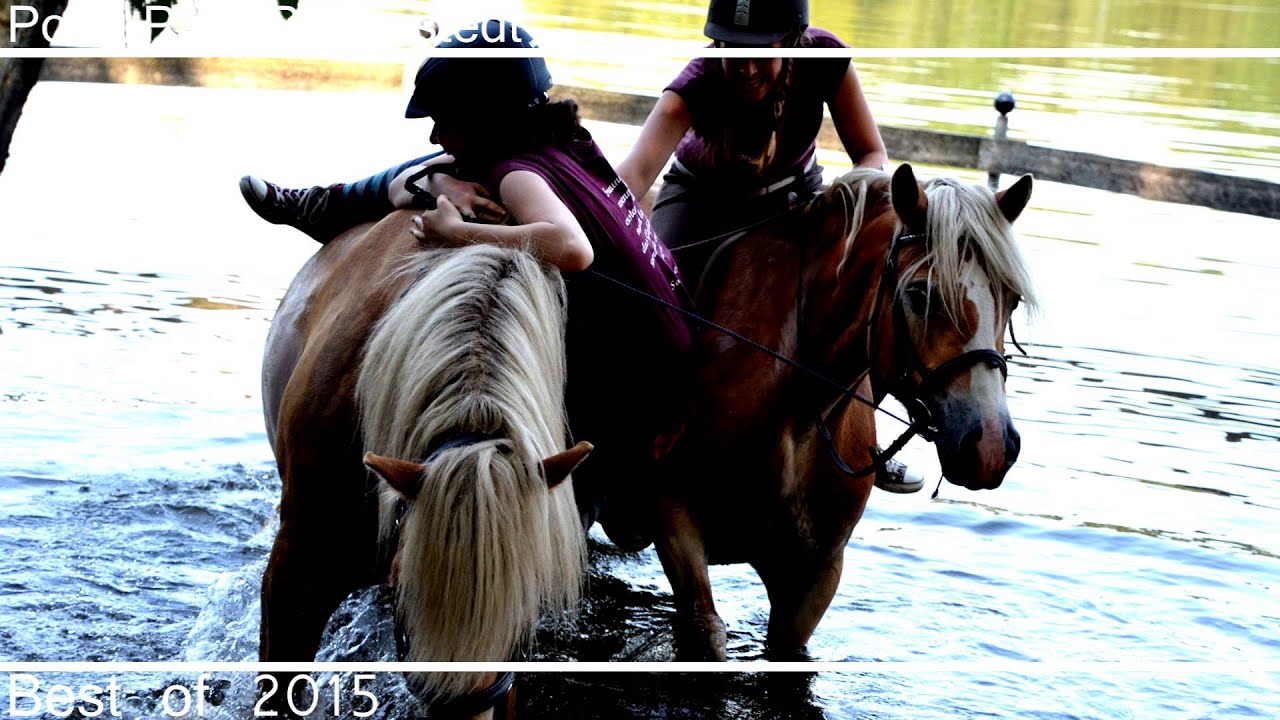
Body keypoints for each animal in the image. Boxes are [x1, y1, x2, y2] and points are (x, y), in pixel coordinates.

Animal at [650, 163, 1037, 660]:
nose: (989, 446)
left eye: (1011, 298)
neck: (793, 418)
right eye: (920, 295)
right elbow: (706, 631)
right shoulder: (675, 523)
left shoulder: (816, 576)